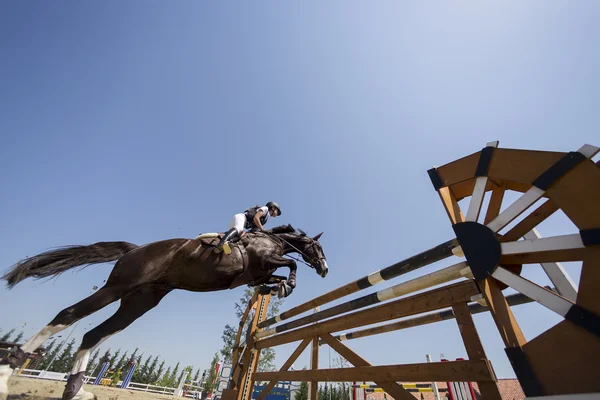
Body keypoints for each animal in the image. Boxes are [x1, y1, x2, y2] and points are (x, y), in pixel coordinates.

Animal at [0, 225, 328, 400]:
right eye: (318, 248)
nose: (325, 269)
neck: (271, 238)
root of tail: (134, 249)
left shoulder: (259, 274)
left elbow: (273, 277)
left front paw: (278, 288)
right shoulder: (267, 260)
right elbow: (291, 263)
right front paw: (288, 285)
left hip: (139, 302)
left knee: (94, 334)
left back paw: (76, 391)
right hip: (119, 287)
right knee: (68, 315)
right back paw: (7, 372)